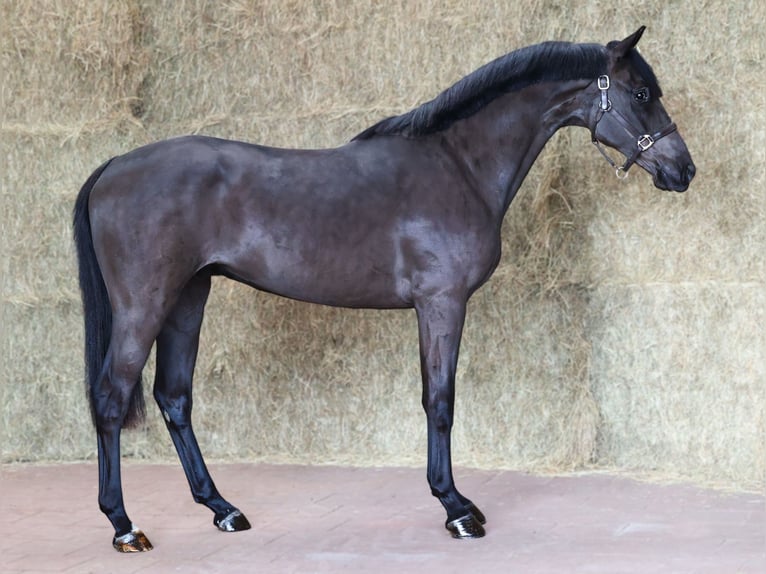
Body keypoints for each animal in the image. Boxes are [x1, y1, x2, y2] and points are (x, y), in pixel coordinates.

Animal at [73, 26, 694, 552]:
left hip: (188, 298)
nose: (682, 170)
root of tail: (114, 166)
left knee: (174, 398)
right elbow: (439, 402)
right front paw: (457, 509)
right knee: (111, 397)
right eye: (642, 92)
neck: (458, 165)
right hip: (145, 304)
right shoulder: (441, 304)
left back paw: (222, 508)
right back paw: (124, 525)